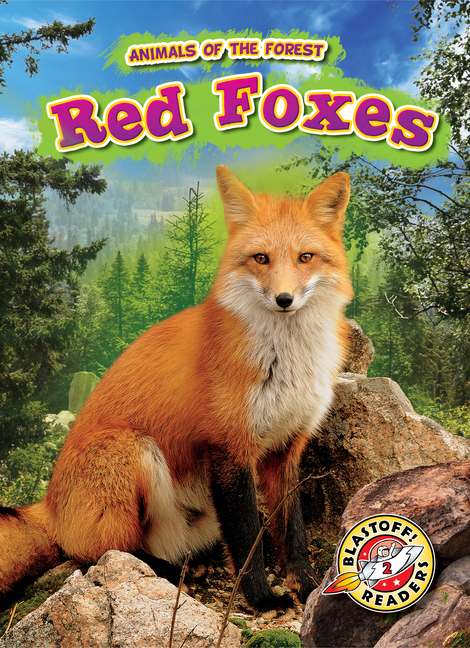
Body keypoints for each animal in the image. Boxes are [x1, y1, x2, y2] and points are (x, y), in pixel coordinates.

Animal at [0, 165, 353, 613]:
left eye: (305, 257)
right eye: (261, 259)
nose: (284, 299)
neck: (285, 362)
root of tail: (48, 504)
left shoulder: (286, 447)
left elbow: (293, 532)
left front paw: (307, 587)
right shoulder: (229, 446)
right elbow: (247, 539)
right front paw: (260, 599)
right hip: (133, 450)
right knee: (103, 553)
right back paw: (163, 571)